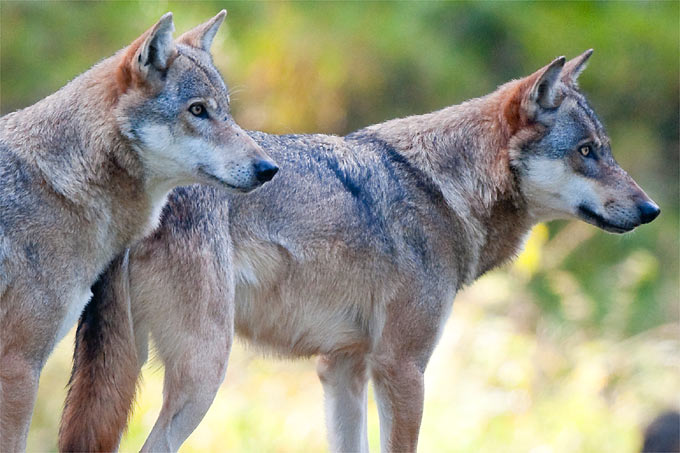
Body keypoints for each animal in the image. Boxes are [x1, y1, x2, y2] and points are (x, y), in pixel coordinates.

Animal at [60, 50, 660, 452]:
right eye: (586, 152)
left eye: (603, 150)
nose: (652, 208)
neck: (441, 189)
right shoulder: (401, 367)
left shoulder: (342, 368)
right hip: (204, 371)